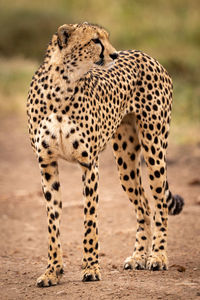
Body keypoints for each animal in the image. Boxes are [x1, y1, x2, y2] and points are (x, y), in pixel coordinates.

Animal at [27, 21, 184, 286]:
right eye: (95, 40)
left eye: (106, 38)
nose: (115, 55)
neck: (62, 86)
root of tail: (146, 55)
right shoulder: (46, 163)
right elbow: (52, 223)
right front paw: (52, 271)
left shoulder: (89, 163)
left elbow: (90, 220)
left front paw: (91, 268)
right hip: (125, 161)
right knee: (143, 206)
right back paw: (138, 256)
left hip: (154, 147)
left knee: (160, 203)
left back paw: (158, 256)